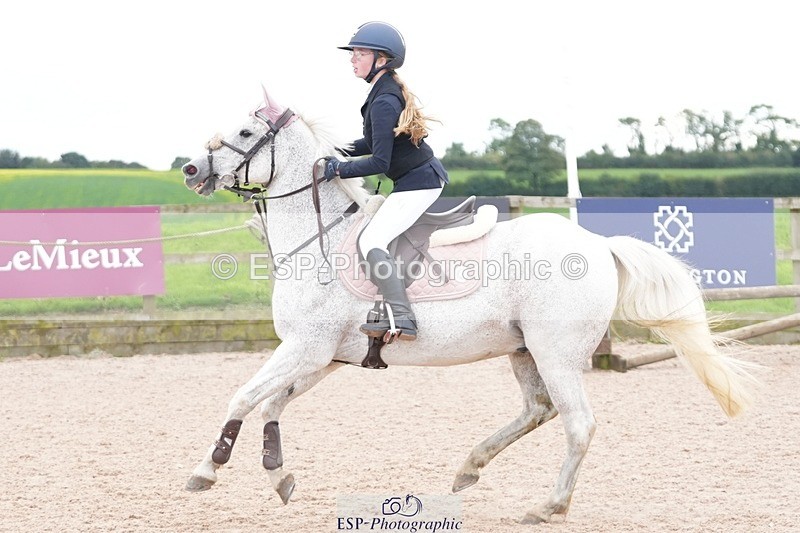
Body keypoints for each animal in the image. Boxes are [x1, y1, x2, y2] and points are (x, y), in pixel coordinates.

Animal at [179, 89, 759, 524]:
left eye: (246, 134)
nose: (189, 169)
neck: (318, 237)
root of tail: (597, 243)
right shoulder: (324, 356)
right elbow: (271, 404)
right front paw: (278, 475)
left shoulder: (305, 347)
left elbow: (241, 397)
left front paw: (208, 470)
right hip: (523, 350)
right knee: (538, 409)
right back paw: (469, 469)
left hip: (555, 352)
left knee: (578, 424)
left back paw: (548, 506)